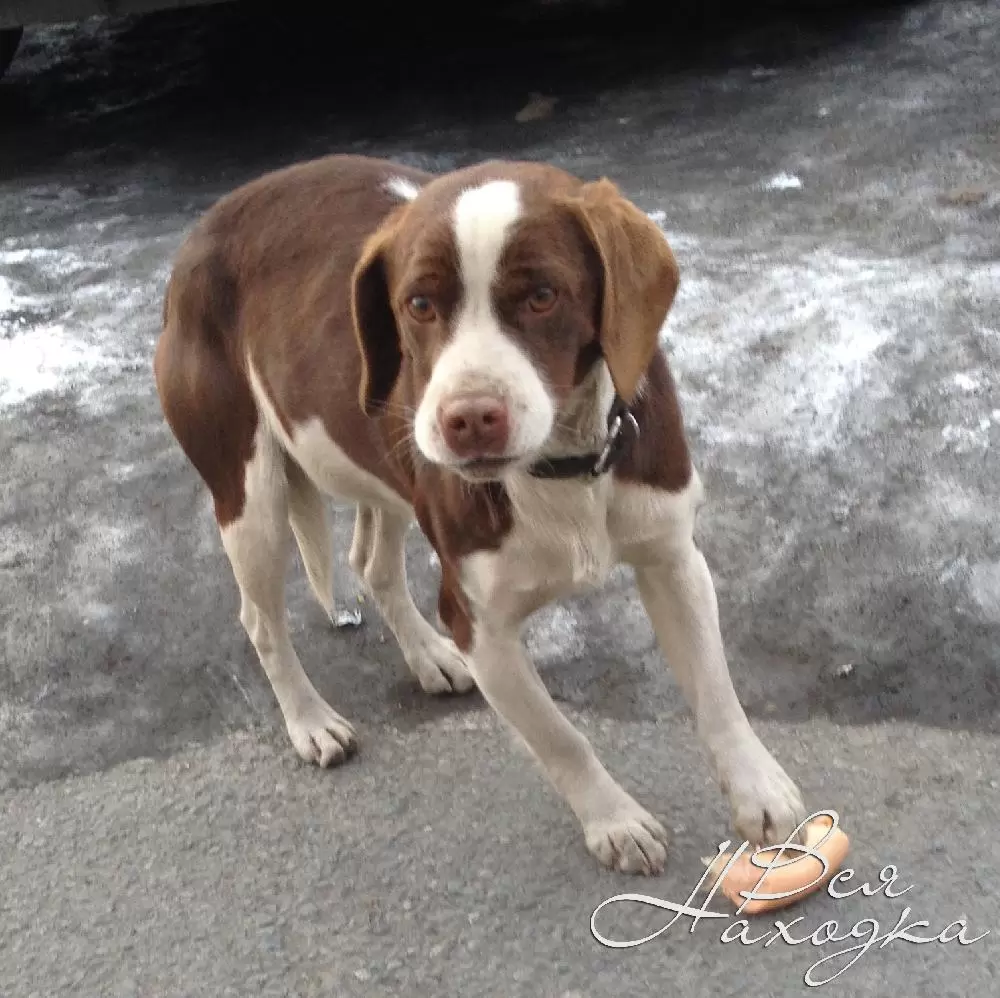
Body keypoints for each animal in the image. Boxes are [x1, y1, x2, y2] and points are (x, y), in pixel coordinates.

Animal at [154, 154, 806, 874]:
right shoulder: (483, 627)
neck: (563, 462)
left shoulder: (673, 560)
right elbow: (560, 738)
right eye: (419, 304)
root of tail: (204, 227)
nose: (467, 419)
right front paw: (614, 822)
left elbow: (717, 692)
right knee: (261, 620)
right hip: (250, 493)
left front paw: (758, 789)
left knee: (370, 562)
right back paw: (311, 721)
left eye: (542, 296)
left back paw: (425, 657)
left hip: (383, 464)